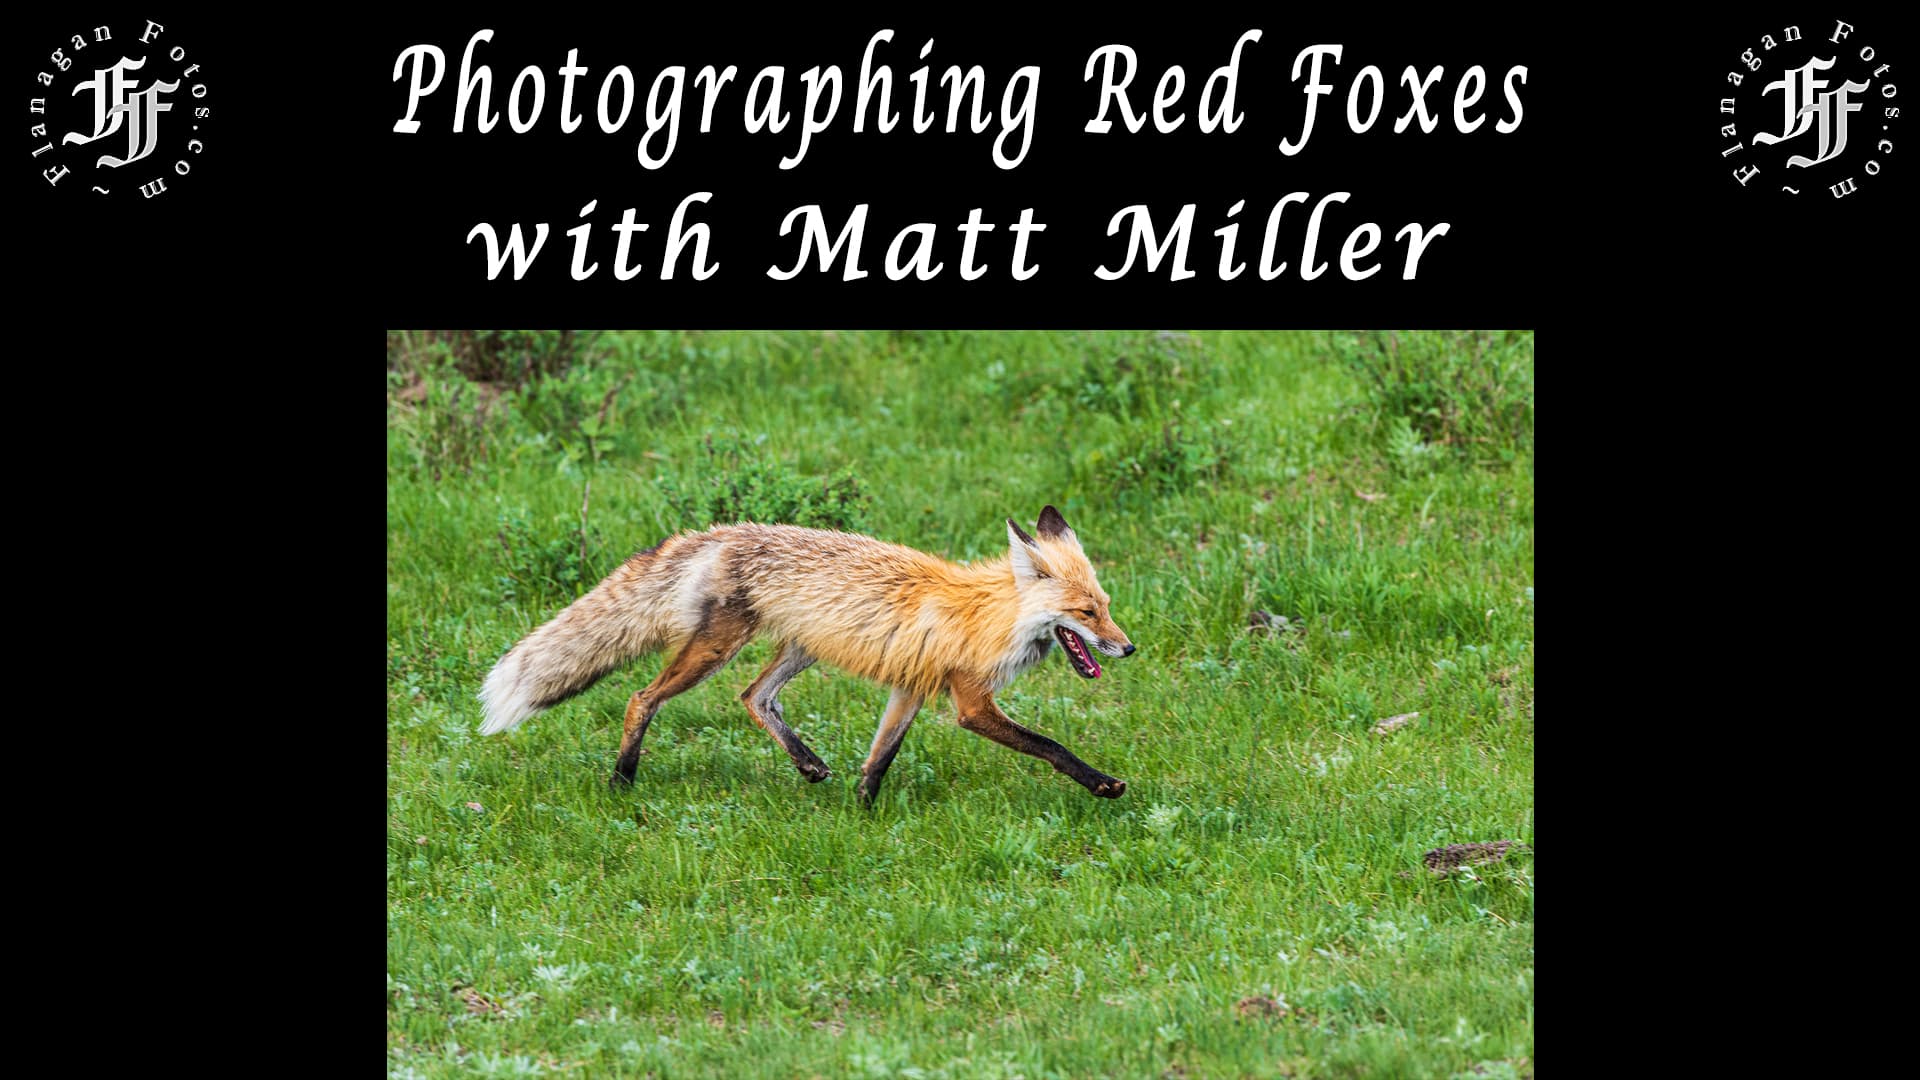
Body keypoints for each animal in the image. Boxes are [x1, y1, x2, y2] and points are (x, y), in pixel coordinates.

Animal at [478, 505, 1135, 803]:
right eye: (1085, 615)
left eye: (1105, 605)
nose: (1128, 647)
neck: (990, 615)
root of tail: (721, 531)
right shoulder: (970, 703)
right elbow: (1051, 745)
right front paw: (1101, 783)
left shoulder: (911, 686)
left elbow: (880, 759)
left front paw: (863, 813)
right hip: (715, 649)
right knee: (642, 698)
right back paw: (622, 779)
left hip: (798, 650)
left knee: (753, 697)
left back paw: (808, 764)